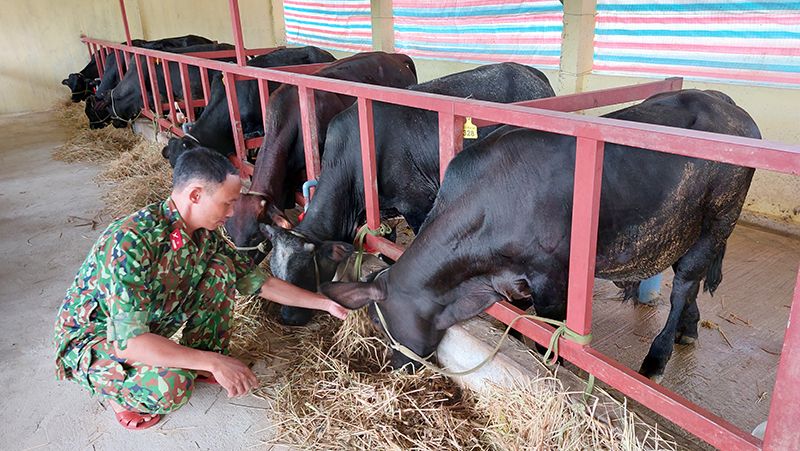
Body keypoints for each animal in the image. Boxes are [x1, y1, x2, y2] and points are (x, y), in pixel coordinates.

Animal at [316, 89, 760, 382]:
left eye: (382, 320)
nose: (398, 366)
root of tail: (727, 104)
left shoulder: (553, 280)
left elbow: (549, 336)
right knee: (692, 279)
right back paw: (689, 327)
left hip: (719, 217)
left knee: (685, 282)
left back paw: (658, 357)